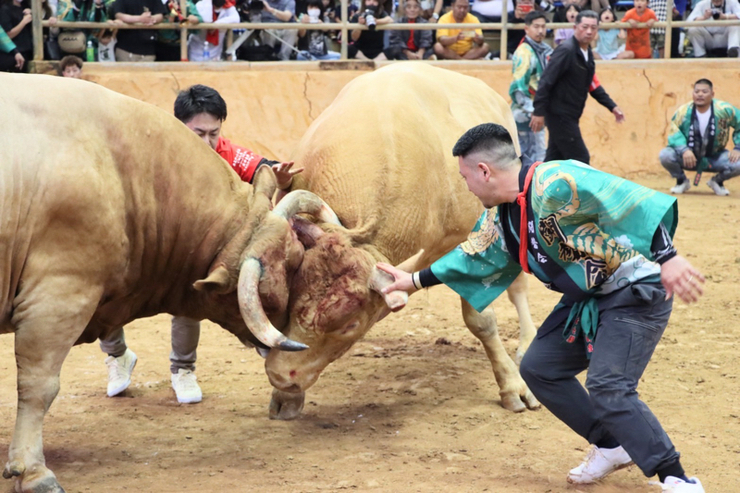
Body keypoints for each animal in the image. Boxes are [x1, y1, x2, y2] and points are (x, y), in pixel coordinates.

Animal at [0, 74, 330, 492]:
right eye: (290, 263)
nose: (291, 335)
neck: (120, 167)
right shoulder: (59, 295)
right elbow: (38, 385)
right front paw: (32, 470)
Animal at [264, 63, 540, 418]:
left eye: (350, 324)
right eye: (293, 300)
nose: (280, 375)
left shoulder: (468, 240)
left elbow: (480, 320)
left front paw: (512, 386)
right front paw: (286, 397)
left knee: (517, 285)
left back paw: (526, 342)